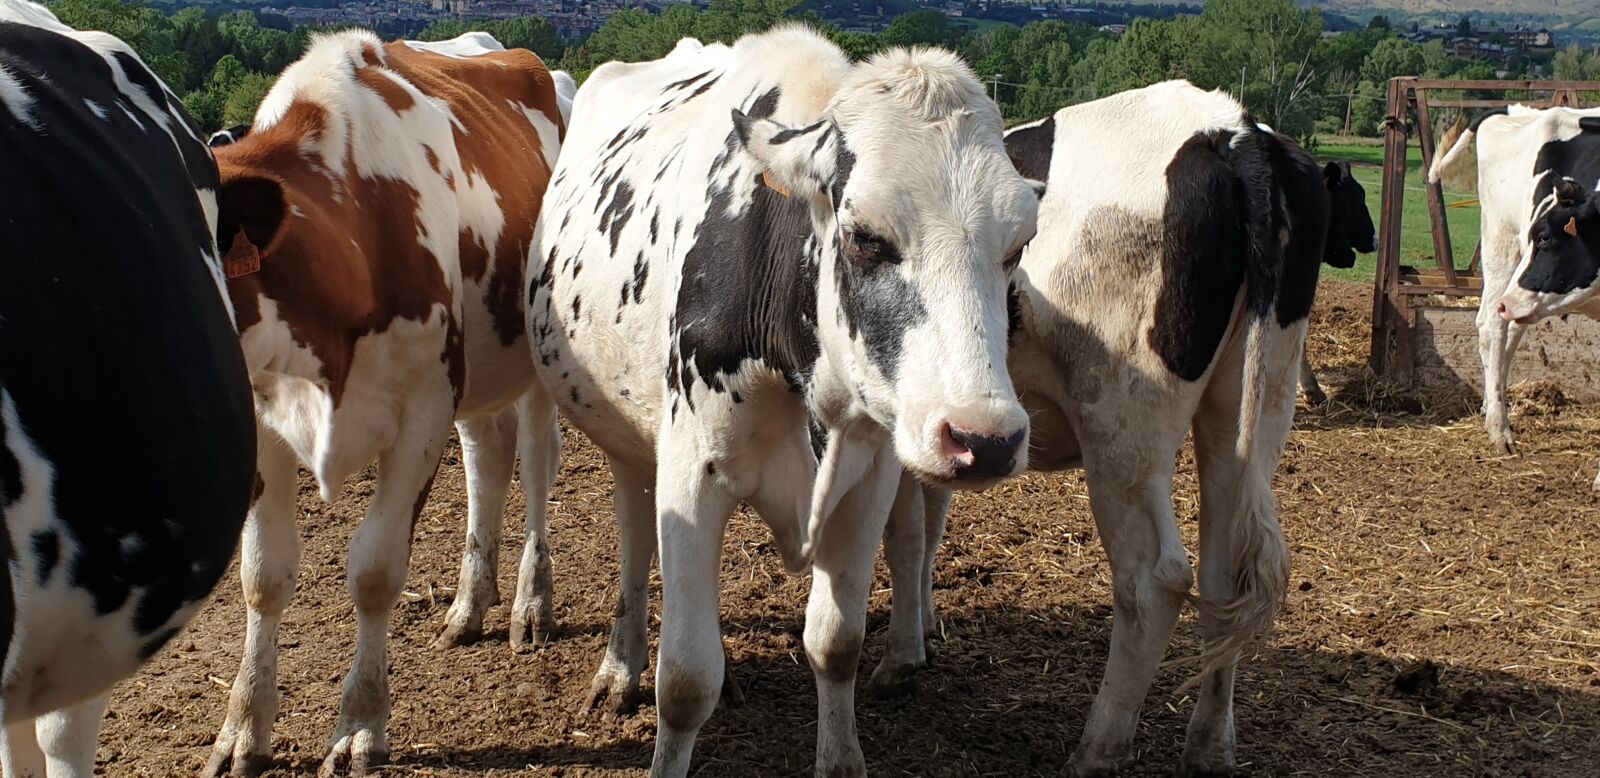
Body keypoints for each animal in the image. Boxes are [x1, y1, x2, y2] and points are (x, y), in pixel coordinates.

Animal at [197, 29, 569, 777]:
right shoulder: (261, 422)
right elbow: (263, 575)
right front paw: (243, 729)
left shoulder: (422, 414)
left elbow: (374, 571)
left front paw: (360, 727)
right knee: (488, 461)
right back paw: (469, 604)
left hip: (536, 361)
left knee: (536, 465)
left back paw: (530, 605)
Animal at [529, 26, 1038, 777]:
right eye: (865, 238)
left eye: (1018, 244)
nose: (986, 439)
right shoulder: (692, 475)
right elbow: (685, 679)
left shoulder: (868, 476)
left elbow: (836, 642)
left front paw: (841, 757)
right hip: (628, 442)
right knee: (634, 539)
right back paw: (621, 667)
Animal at [871, 80, 1326, 776]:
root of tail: (1232, 130)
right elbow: (931, 521)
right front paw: (920, 634)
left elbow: (906, 533)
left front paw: (899, 657)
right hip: (1254, 407)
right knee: (1225, 576)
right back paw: (1209, 746)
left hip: (1121, 423)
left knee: (1155, 581)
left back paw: (1098, 748)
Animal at [1429, 106, 1600, 457]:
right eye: (1543, 237)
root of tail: (1515, 110)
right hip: (1503, 247)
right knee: (1492, 324)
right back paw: (1499, 426)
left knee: (1511, 326)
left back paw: (1489, 405)